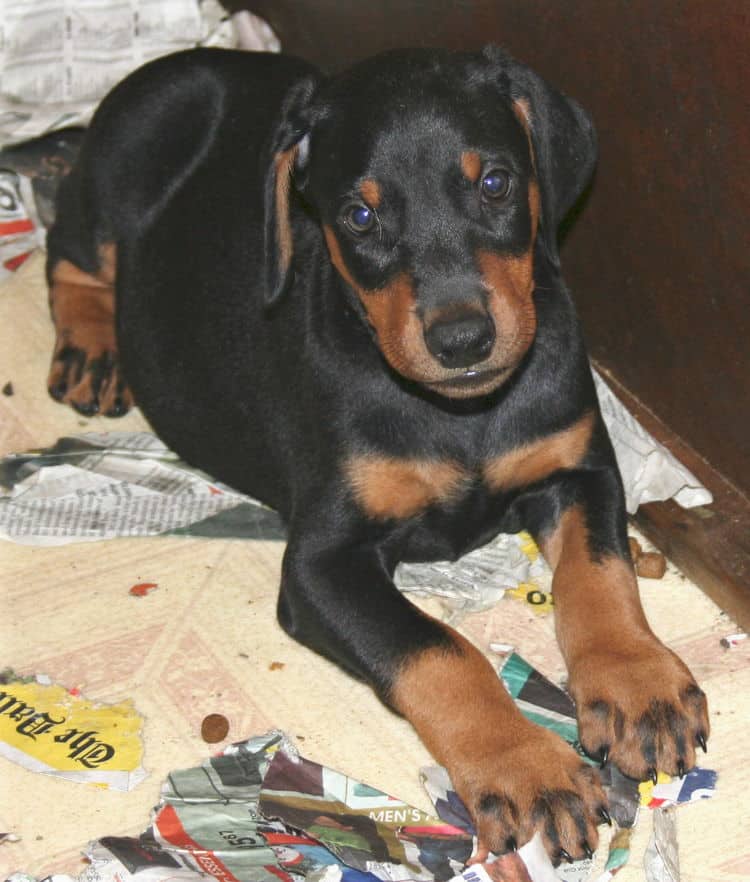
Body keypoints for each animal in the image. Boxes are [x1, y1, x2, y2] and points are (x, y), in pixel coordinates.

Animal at [45, 46, 712, 860]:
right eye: (360, 216)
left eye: (495, 182)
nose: (463, 340)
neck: (460, 414)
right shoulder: (321, 564)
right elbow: (435, 649)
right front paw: (527, 767)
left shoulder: (579, 467)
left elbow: (599, 573)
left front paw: (636, 684)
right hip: (123, 157)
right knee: (69, 248)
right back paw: (90, 345)